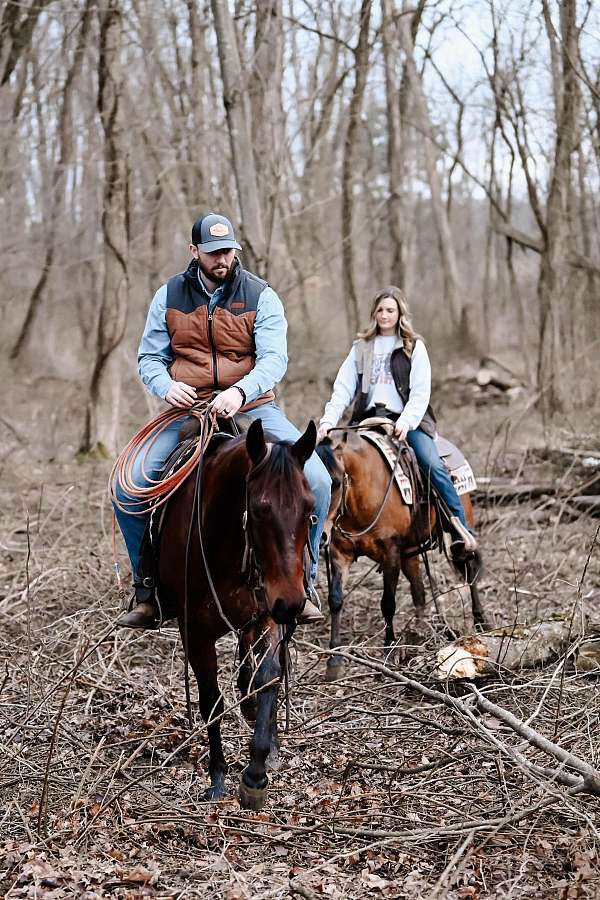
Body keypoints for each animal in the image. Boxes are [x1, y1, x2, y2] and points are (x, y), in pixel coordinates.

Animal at [158, 420, 318, 808]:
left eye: (310, 508)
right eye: (259, 509)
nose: (293, 603)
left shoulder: (269, 615)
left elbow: (269, 677)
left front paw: (257, 770)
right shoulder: (194, 631)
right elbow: (211, 700)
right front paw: (217, 777)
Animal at [316, 432, 486, 680]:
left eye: (336, 482)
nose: (320, 536)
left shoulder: (391, 553)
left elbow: (388, 603)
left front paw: (387, 653)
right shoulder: (340, 553)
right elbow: (336, 600)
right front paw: (334, 660)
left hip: (461, 529)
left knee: (469, 568)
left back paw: (481, 621)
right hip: (409, 554)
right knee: (419, 591)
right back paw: (420, 633)